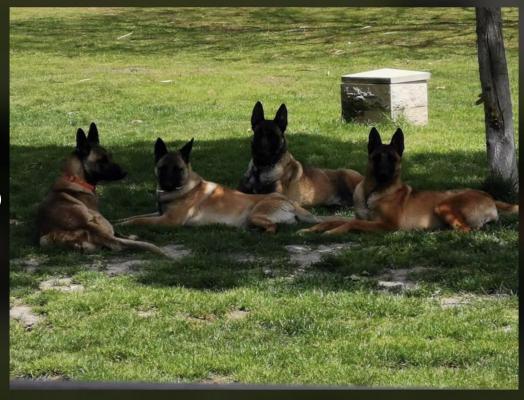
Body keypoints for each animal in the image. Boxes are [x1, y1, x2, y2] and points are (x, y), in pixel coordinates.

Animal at [114, 138, 320, 233]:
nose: (168, 183)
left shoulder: (168, 221)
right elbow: (135, 216)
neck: (184, 188)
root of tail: (289, 203)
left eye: (178, 169)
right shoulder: (158, 214)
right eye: (162, 168)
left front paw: (124, 225)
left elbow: (139, 221)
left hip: (255, 214)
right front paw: (118, 220)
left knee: (273, 227)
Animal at [298, 127, 520, 234]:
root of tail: (489, 196)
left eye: (393, 159)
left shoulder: (387, 225)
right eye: (376, 158)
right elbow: (336, 219)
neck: (373, 193)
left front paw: (333, 232)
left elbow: (350, 224)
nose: (384, 175)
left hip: (443, 205)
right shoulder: (364, 218)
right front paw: (312, 229)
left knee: (466, 230)